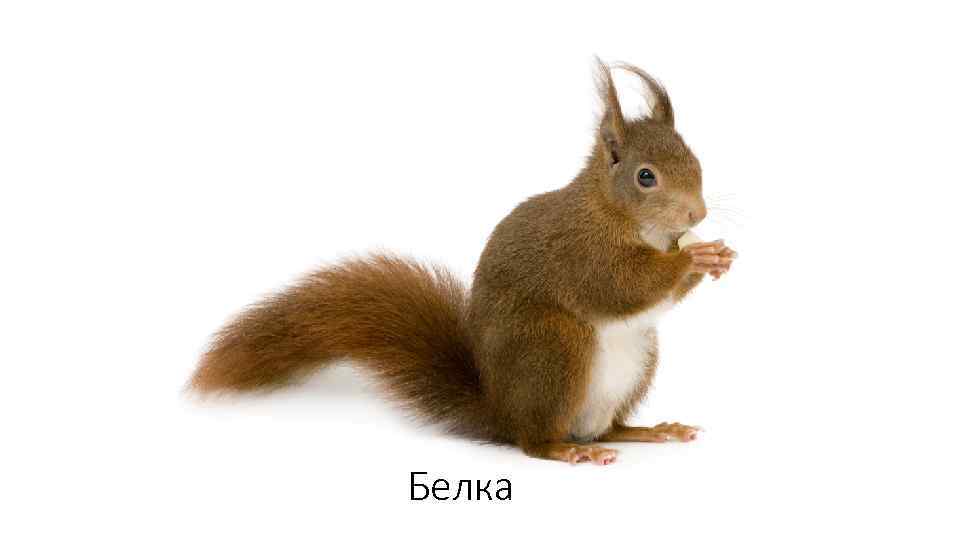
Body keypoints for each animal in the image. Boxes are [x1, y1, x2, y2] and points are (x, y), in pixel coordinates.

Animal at [190, 60, 737, 465]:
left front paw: (716, 255)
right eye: (646, 177)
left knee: (607, 428)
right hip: (553, 347)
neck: (615, 212)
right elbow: (620, 286)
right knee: (535, 441)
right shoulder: (579, 251)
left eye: (695, 159)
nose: (698, 214)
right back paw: (565, 449)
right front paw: (695, 256)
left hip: (637, 360)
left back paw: (647, 431)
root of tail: (500, 411)